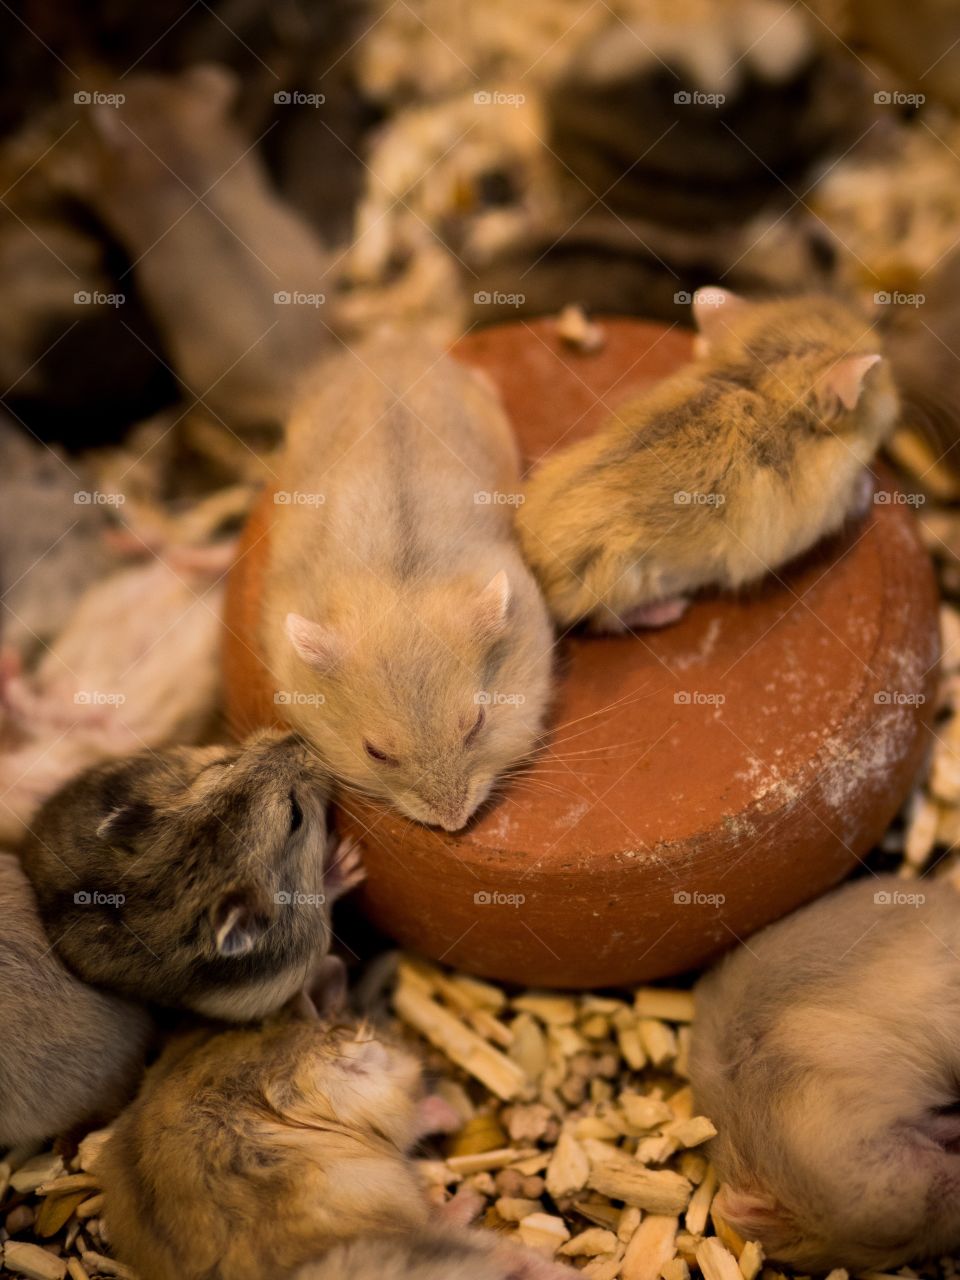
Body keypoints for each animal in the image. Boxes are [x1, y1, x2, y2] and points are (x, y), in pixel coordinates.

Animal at [517, 289, 899, 631]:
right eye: (878, 371)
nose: (893, 385)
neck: (760, 381)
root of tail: (536, 568)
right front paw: (867, 488)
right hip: (623, 583)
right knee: (608, 622)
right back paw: (672, 610)